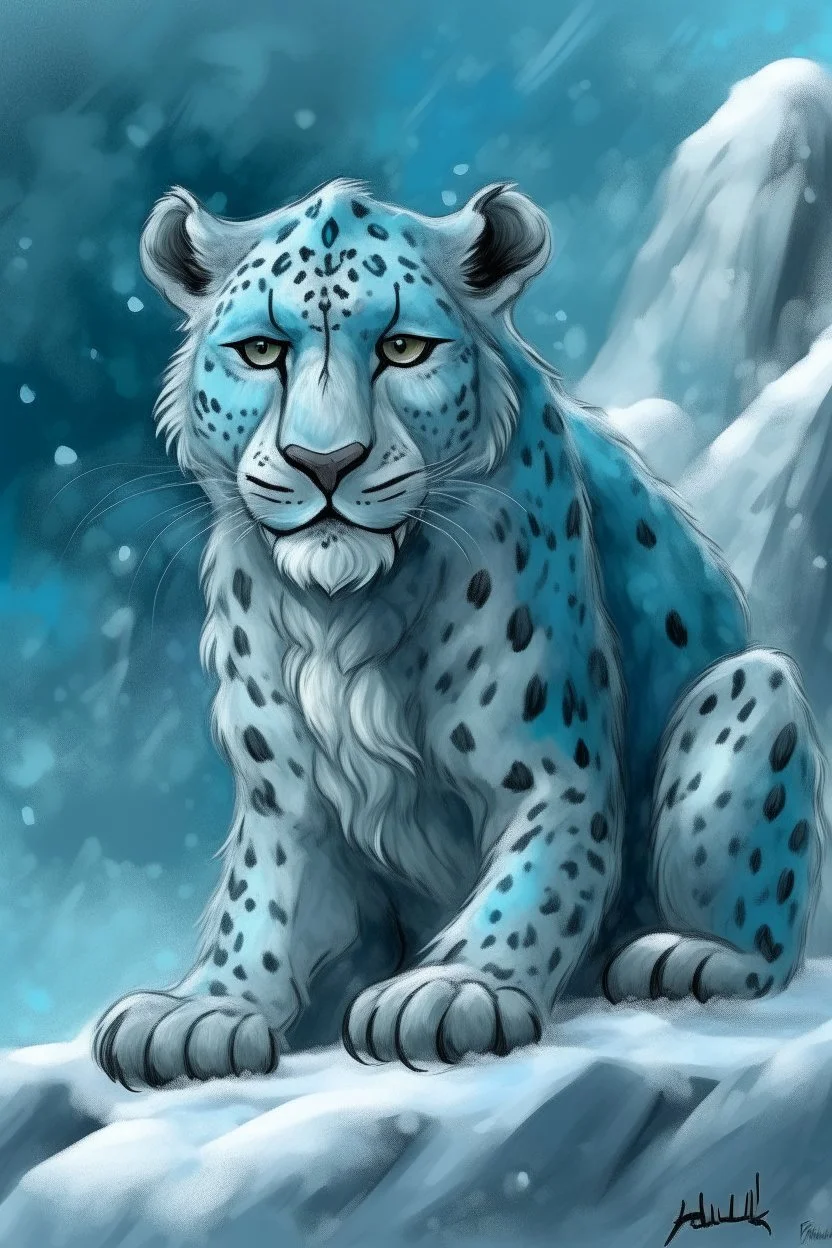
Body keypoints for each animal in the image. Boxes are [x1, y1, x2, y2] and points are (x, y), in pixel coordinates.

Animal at [92, 177, 827, 1088]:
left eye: (404, 347)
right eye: (261, 350)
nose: (323, 463)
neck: (344, 612)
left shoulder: (550, 767)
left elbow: (537, 881)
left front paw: (450, 989)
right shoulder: (284, 793)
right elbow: (263, 898)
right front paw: (206, 1007)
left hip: (748, 687)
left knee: (765, 928)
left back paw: (688, 956)